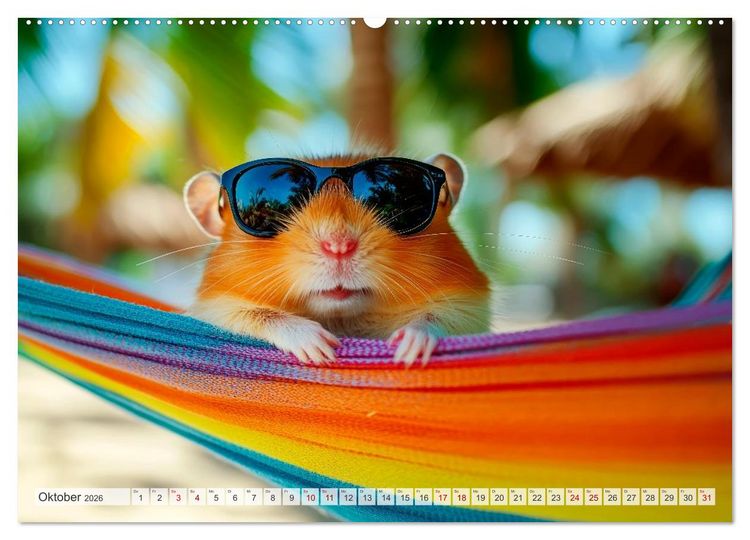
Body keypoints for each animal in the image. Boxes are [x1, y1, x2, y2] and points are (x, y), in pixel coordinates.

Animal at [184, 153, 490, 366]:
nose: (339, 246)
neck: (342, 320)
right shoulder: (211, 309)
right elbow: (257, 315)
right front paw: (319, 347)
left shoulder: (470, 306)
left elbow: (438, 317)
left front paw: (409, 347)